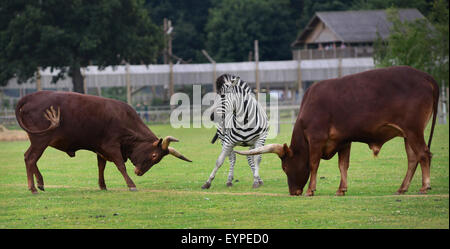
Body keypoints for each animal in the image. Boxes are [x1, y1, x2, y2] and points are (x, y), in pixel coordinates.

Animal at [15, 90, 192, 194]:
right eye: (155, 156)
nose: (139, 172)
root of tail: (30, 97)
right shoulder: (111, 146)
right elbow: (120, 165)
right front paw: (131, 184)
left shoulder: (101, 149)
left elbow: (101, 166)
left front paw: (102, 185)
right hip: (41, 139)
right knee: (30, 158)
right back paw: (33, 187)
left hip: (38, 140)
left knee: (28, 157)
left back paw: (40, 183)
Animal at [234, 66, 438, 196]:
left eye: (285, 168)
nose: (293, 192)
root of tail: (425, 77)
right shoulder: (344, 141)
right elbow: (343, 165)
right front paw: (341, 189)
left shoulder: (316, 138)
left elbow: (314, 164)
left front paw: (311, 190)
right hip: (407, 134)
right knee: (413, 159)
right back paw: (402, 188)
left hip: (413, 130)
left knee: (423, 154)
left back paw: (425, 186)